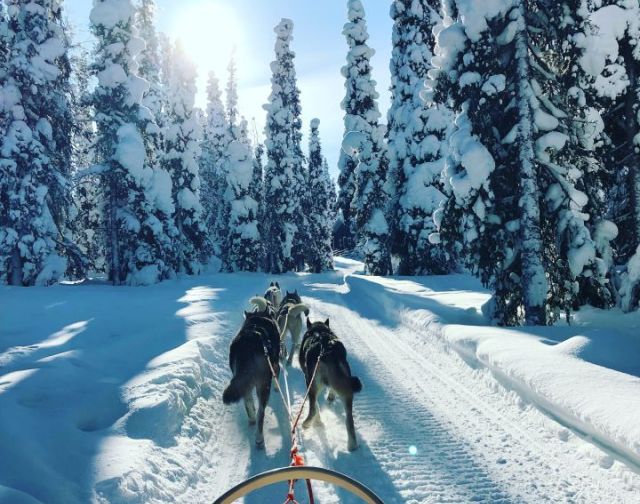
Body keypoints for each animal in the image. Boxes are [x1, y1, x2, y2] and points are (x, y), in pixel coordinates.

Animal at [222, 310, 280, 446]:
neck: (258, 319)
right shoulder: (275, 365)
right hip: (263, 385)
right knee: (261, 412)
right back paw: (259, 438)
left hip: (244, 383)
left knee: (248, 404)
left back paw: (252, 420)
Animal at [298, 316, 360, 450]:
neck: (319, 330)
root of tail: (328, 351)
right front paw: (331, 397)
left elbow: (316, 405)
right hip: (347, 391)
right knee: (349, 420)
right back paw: (352, 445)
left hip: (312, 384)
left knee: (313, 409)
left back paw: (308, 423)